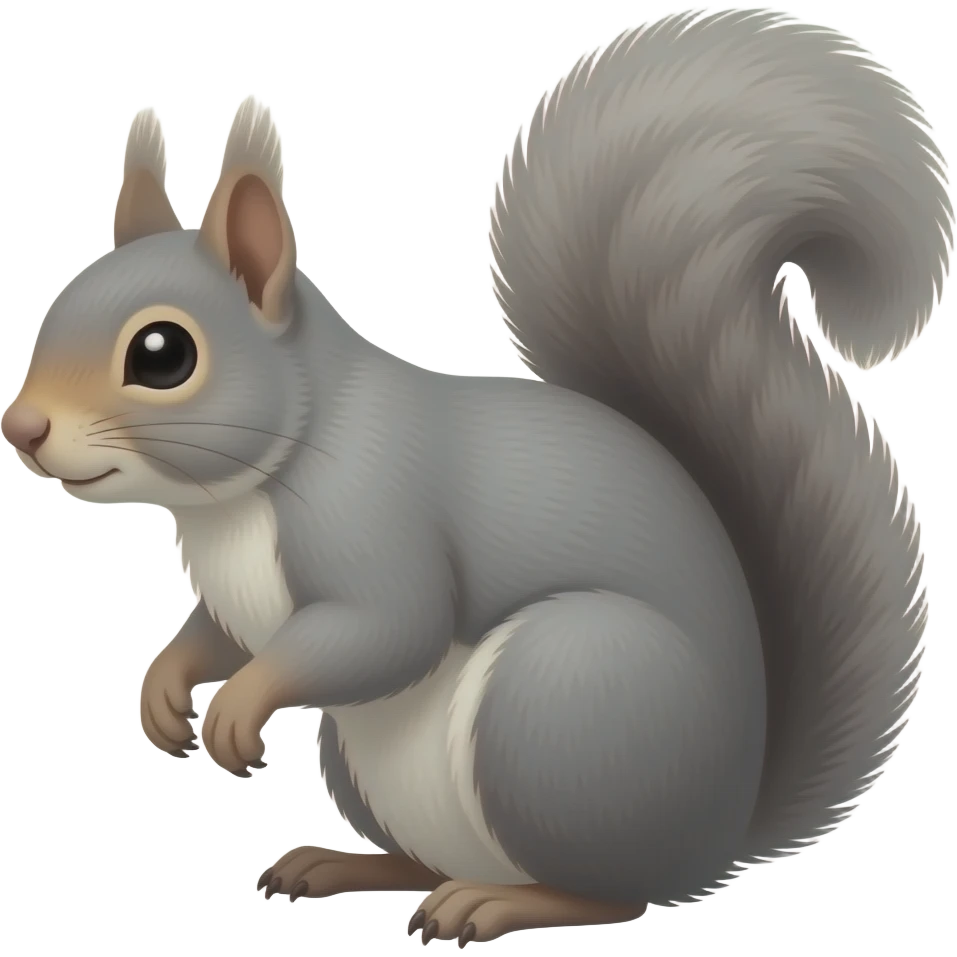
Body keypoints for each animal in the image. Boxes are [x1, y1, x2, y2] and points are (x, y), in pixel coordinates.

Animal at [3, 8, 948, 945]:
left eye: (163, 354)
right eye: (55, 308)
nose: (22, 428)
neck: (235, 502)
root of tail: (715, 834)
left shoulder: (374, 514)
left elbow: (388, 626)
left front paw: (239, 704)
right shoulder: (242, 596)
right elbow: (219, 632)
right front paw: (164, 686)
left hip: (558, 703)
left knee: (608, 893)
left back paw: (496, 903)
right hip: (373, 763)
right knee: (430, 858)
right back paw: (345, 865)